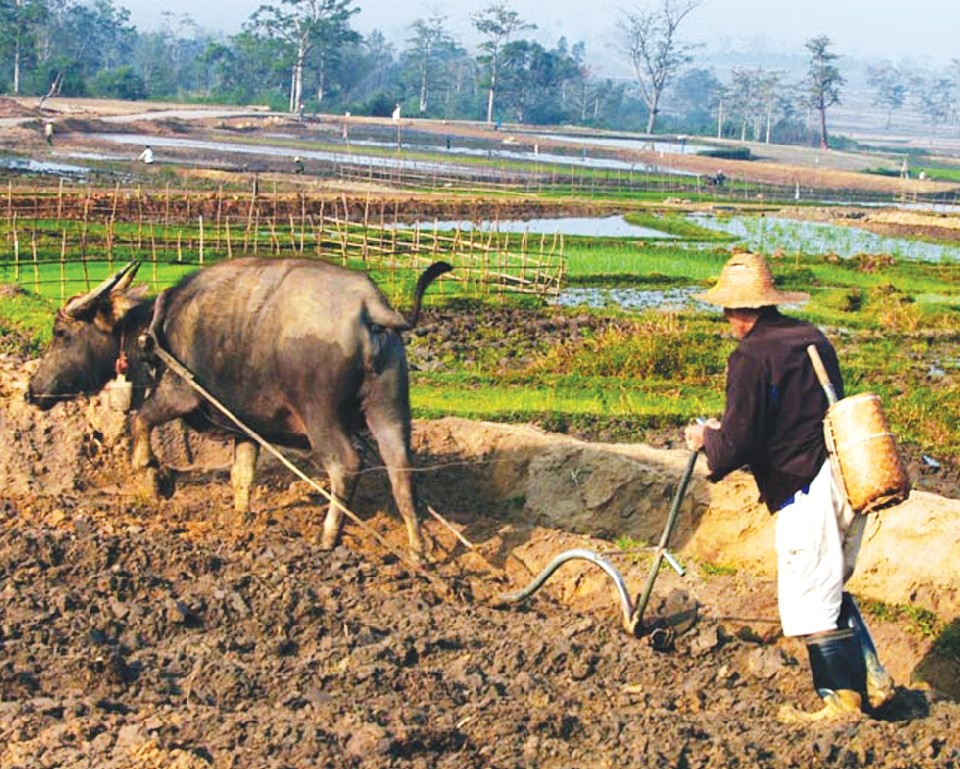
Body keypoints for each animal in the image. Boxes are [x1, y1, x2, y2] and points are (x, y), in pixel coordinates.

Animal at [28, 255, 452, 560]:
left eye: (61, 333)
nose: (33, 392)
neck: (153, 330)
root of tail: (370, 308)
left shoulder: (179, 393)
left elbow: (141, 421)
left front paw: (152, 473)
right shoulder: (247, 427)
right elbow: (241, 474)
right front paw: (241, 515)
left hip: (321, 416)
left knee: (346, 464)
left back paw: (329, 535)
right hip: (390, 410)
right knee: (402, 473)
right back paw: (418, 549)